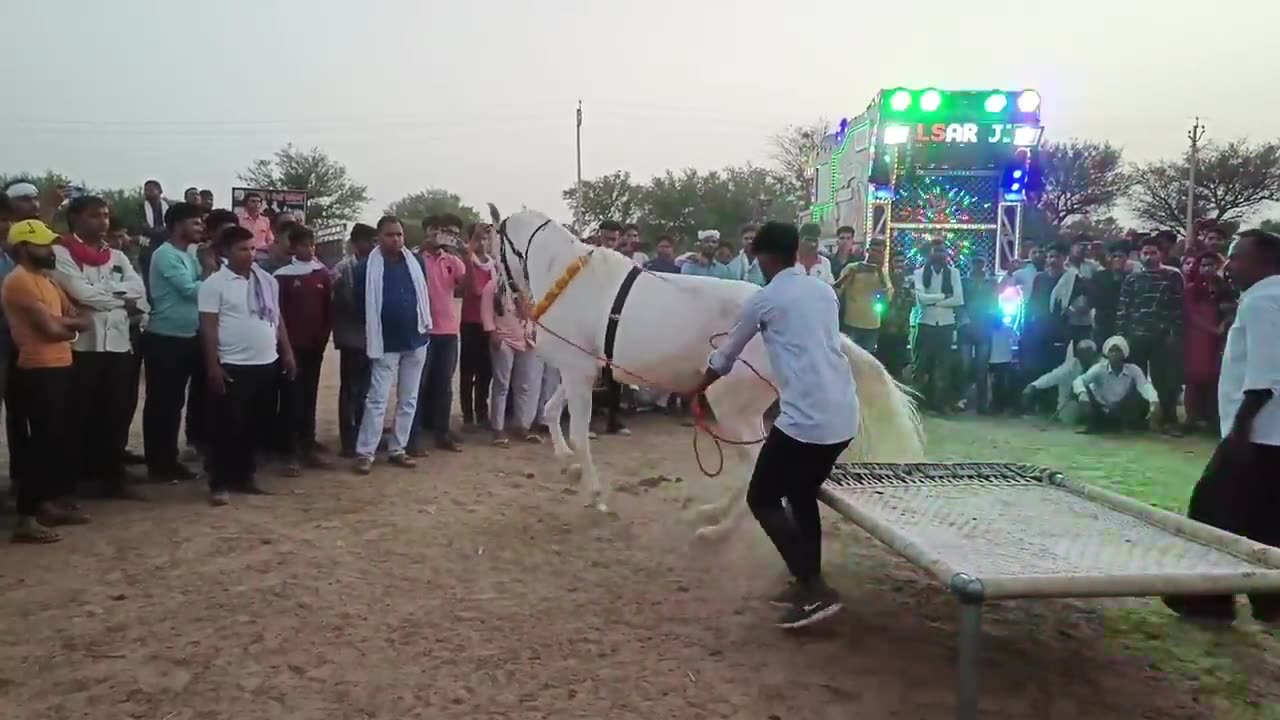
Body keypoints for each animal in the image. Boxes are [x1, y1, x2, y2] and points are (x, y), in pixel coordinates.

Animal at [488, 204, 921, 535]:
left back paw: (717, 527)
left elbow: (578, 432)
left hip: (731, 405)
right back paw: (713, 517)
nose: (501, 298)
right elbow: (549, 411)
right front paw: (568, 467)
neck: (569, 279)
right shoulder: (583, 368)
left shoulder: (578, 370)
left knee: (757, 471)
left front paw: (593, 492)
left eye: (495, 247)